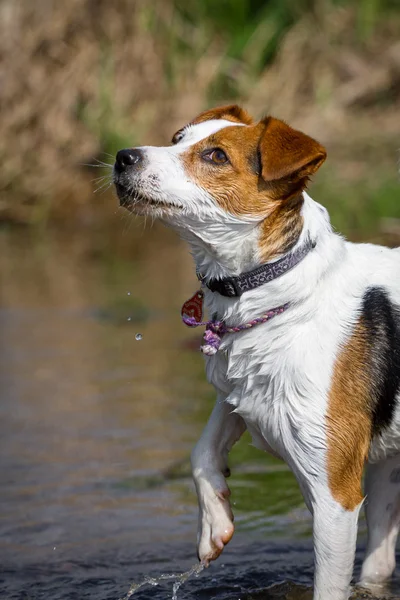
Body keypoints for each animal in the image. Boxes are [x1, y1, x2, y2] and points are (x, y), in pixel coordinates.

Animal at [112, 105, 400, 600]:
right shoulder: (241, 395)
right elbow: (201, 451)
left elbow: (328, 584)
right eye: (177, 138)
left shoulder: (335, 495)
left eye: (215, 155)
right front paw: (215, 525)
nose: (122, 157)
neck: (276, 292)